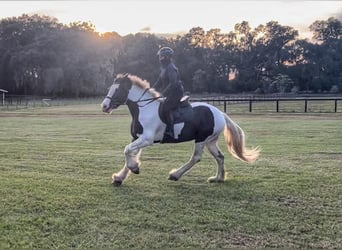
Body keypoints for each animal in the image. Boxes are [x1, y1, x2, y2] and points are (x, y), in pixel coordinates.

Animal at [101, 73, 260, 187]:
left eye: (118, 89)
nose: (104, 106)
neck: (144, 108)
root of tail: (220, 113)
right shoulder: (138, 138)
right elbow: (131, 153)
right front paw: (120, 177)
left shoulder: (147, 139)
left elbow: (127, 150)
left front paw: (134, 168)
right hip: (211, 141)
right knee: (220, 157)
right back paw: (218, 179)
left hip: (201, 139)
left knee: (196, 157)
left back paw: (175, 175)